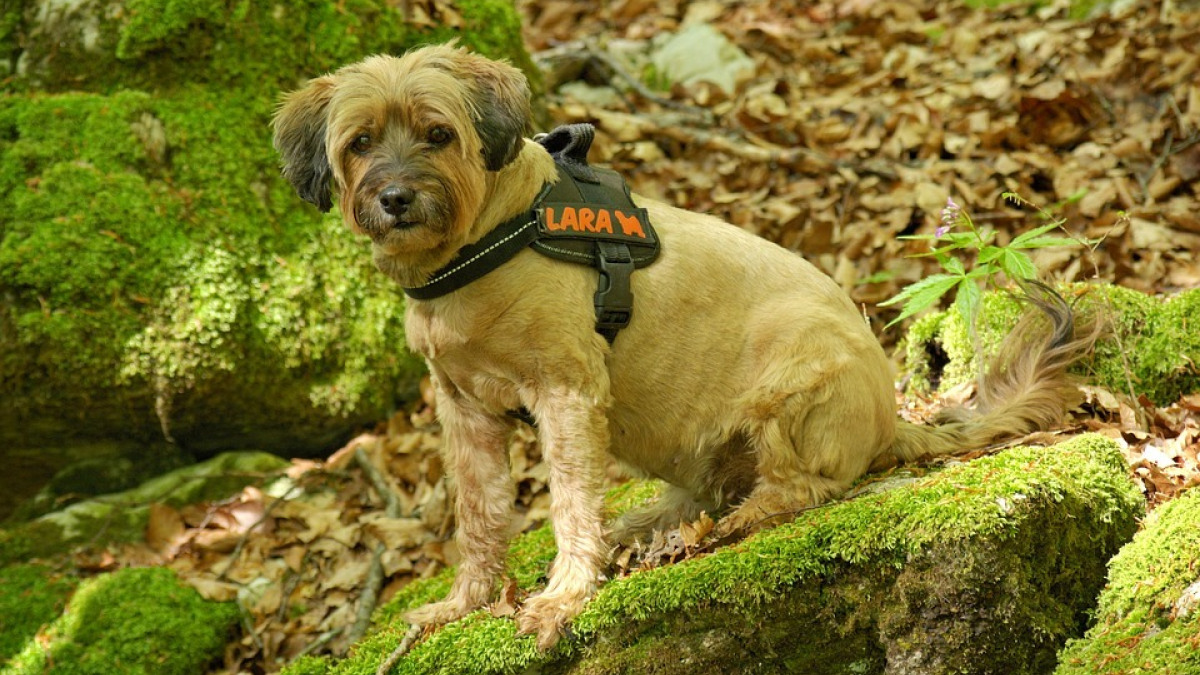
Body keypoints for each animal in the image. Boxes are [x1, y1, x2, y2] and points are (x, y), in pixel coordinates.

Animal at [272, 44, 1099, 648]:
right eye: (361, 142)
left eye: (439, 133)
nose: (395, 197)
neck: (487, 237)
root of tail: (891, 421)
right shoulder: (466, 411)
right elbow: (478, 514)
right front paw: (465, 601)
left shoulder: (567, 394)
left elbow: (569, 500)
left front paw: (562, 597)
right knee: (696, 493)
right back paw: (650, 527)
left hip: (795, 369)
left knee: (804, 485)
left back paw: (735, 520)